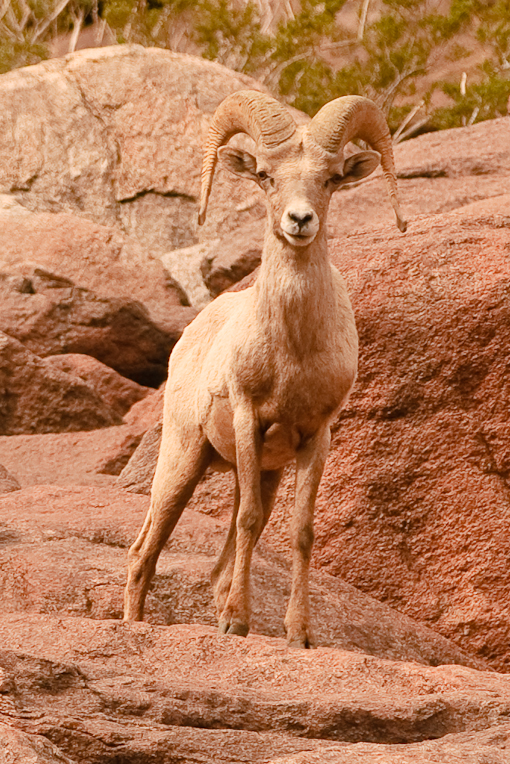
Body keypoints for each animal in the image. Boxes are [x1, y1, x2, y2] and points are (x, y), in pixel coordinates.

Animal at [124, 90, 406, 648]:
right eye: (265, 176)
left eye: (331, 179)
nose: (300, 221)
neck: (292, 354)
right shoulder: (247, 418)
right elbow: (252, 523)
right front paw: (238, 623)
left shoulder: (316, 438)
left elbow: (302, 532)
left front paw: (298, 634)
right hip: (183, 462)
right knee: (144, 551)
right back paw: (135, 627)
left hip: (253, 472)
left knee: (215, 564)